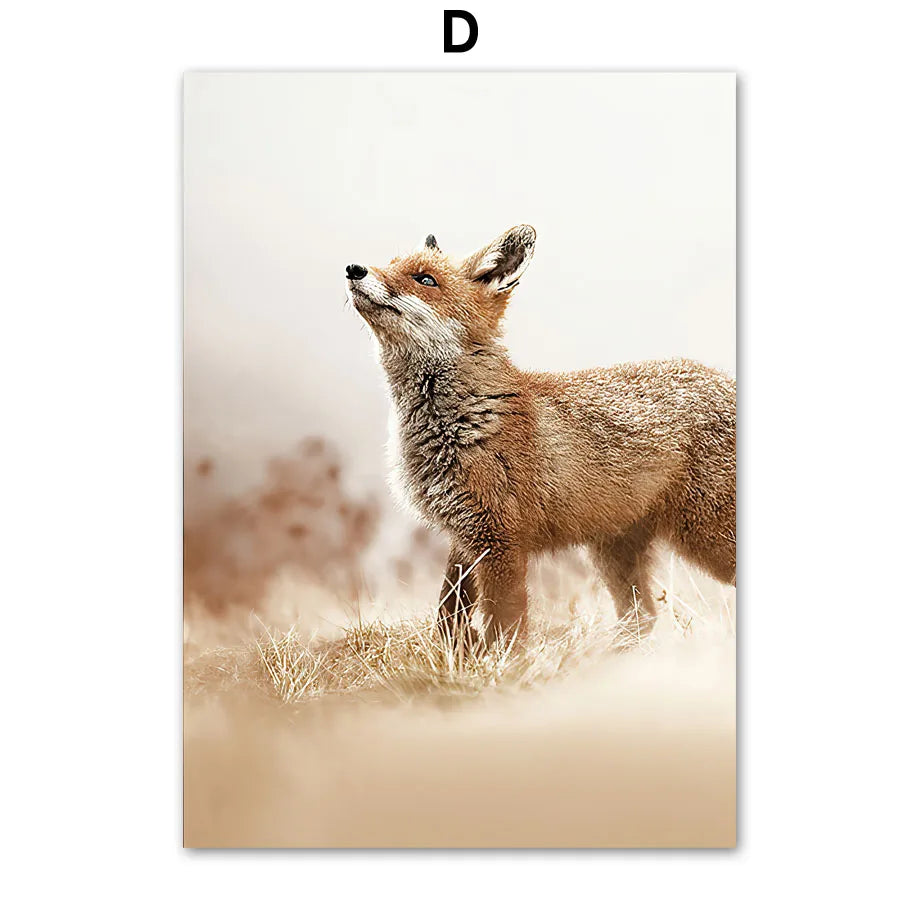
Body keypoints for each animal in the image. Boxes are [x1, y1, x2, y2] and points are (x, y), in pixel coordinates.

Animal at [346, 225, 735, 646]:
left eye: (425, 280)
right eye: (391, 263)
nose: (354, 268)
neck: (462, 421)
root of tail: (726, 380)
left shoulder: (500, 539)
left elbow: (506, 625)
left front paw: (503, 662)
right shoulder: (465, 535)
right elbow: (449, 612)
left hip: (704, 536)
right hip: (613, 550)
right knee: (642, 617)